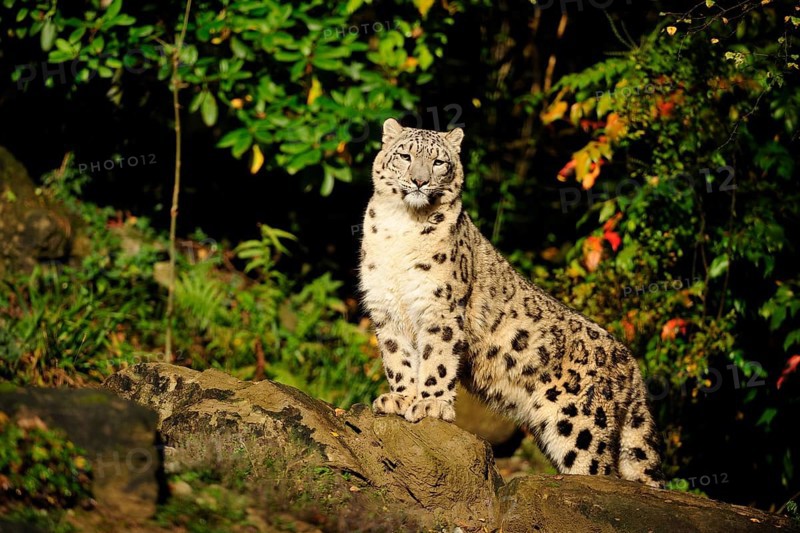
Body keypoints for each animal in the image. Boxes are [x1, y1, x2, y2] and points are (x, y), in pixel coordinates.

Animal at [358, 118, 663, 487]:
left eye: (439, 162)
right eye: (405, 156)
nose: (420, 180)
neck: (401, 226)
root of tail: (632, 365)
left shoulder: (440, 309)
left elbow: (437, 359)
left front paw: (431, 403)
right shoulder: (386, 308)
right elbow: (397, 359)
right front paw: (400, 398)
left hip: (581, 428)